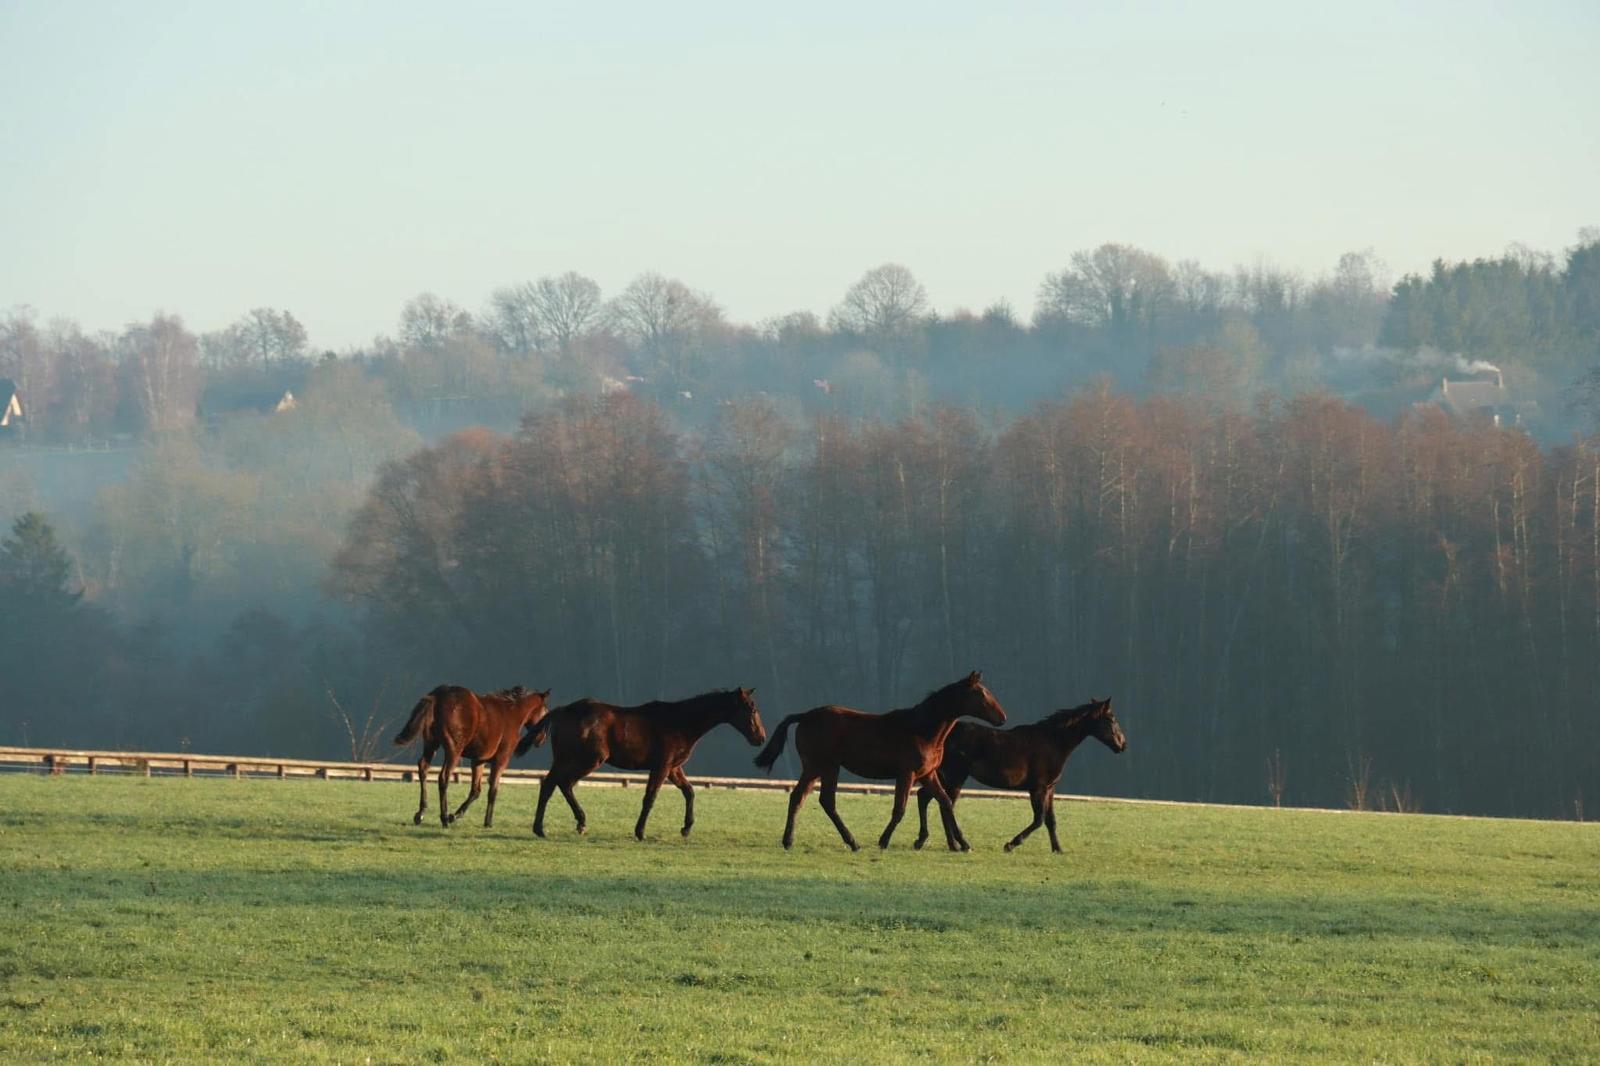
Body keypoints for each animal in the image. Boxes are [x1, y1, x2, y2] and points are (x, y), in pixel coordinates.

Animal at [393, 684, 551, 828]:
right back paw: (444, 818)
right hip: (454, 751)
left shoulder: (478, 761)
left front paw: (455, 815)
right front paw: (488, 822)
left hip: (431, 744)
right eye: (546, 712)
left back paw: (421, 813)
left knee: (423, 768)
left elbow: (476, 790)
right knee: (443, 777)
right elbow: (493, 789)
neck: (511, 713)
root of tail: (439, 695)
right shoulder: (501, 760)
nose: (541, 740)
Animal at [523, 688, 766, 840]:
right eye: (752, 709)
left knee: (550, 785)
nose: (761, 738)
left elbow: (689, 792)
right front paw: (640, 832)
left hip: (565, 759)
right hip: (588, 760)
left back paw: (542, 828)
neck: (680, 722)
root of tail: (564, 710)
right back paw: (575, 823)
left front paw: (686, 828)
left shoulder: (674, 768)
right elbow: (650, 797)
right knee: (563, 783)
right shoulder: (662, 766)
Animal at [753, 671, 1007, 851]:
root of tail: (805, 716)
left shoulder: (928, 774)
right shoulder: (906, 773)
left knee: (799, 797)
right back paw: (852, 842)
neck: (922, 730)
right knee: (826, 801)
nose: (1002, 718)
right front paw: (883, 840)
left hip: (814, 768)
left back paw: (789, 840)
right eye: (981, 694)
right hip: (826, 766)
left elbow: (945, 801)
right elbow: (900, 808)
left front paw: (963, 843)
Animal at [912, 697, 1125, 853]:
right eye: (1111, 719)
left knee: (932, 799)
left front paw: (1058, 849)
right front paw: (1011, 844)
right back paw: (955, 844)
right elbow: (1039, 819)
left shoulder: (1050, 789)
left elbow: (1051, 820)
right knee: (941, 803)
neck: (1053, 743)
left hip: (947, 777)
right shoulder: (1038, 788)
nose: (1122, 744)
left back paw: (940, 843)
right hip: (954, 777)